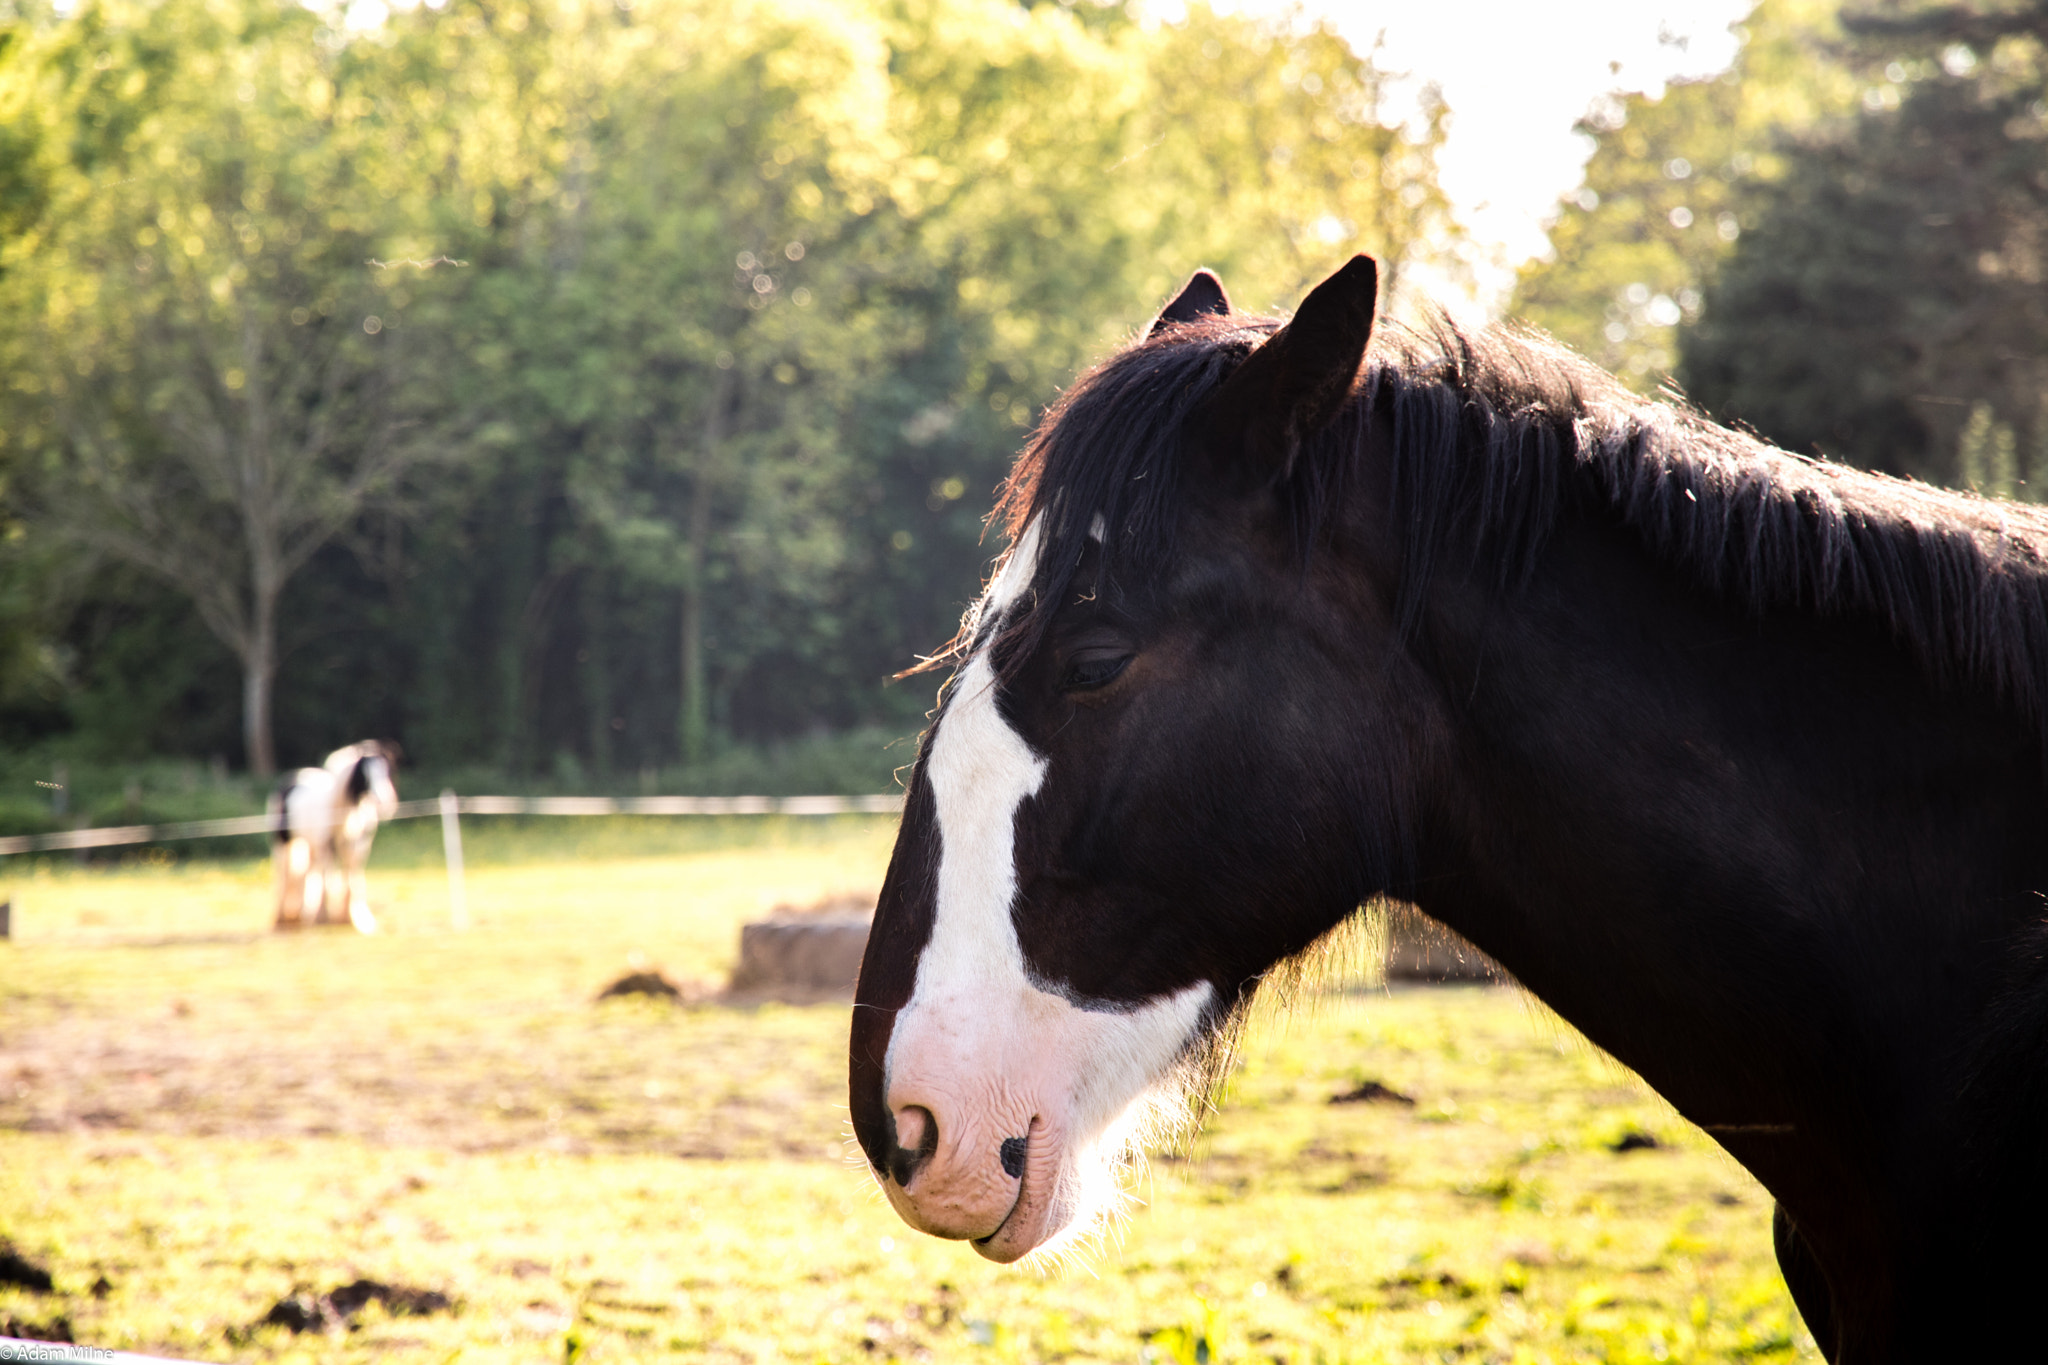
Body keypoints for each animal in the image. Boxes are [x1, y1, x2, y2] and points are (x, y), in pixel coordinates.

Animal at [270, 741, 401, 934]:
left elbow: (352, 878)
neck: (342, 813)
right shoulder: (328, 848)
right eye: (364, 775)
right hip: (285, 844)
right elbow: (328, 881)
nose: (384, 803)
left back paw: (301, 914)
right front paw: (324, 918)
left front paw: (352, 918)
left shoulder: (356, 847)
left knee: (305, 874)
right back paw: (283, 917)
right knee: (284, 875)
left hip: (310, 846)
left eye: (387, 771)